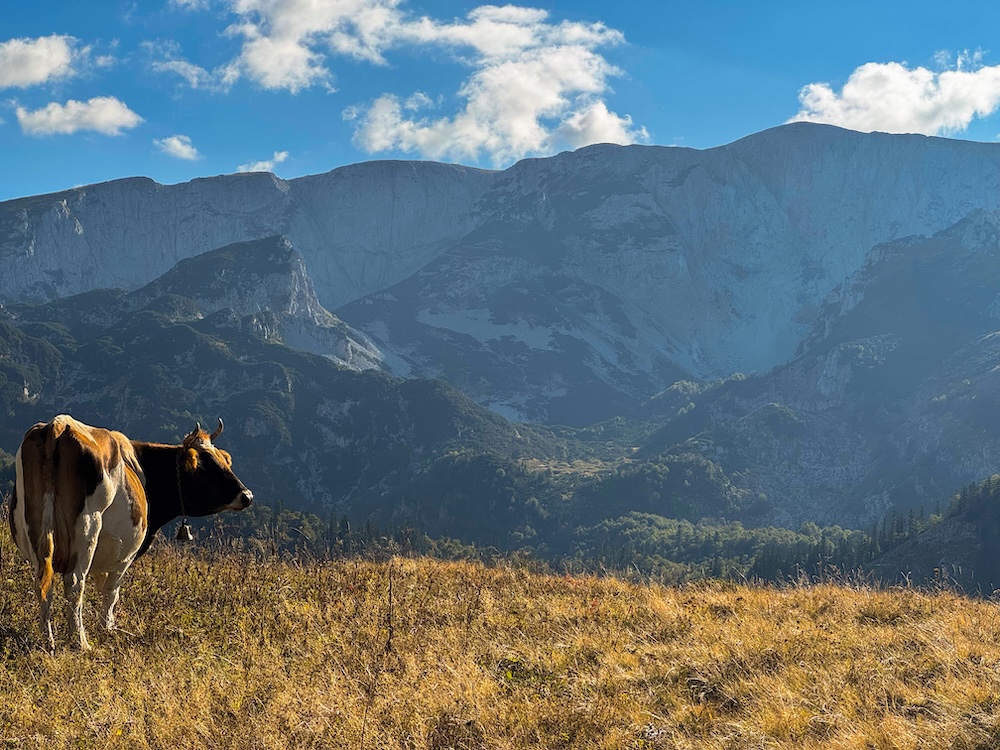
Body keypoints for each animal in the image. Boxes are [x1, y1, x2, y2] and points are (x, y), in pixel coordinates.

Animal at [11, 418, 252, 652]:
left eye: (224, 460)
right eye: (208, 465)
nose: (247, 496)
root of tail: (58, 425)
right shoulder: (125, 555)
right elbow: (112, 592)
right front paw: (108, 628)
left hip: (36, 530)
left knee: (44, 582)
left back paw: (48, 641)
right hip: (88, 528)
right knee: (75, 582)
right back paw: (80, 642)